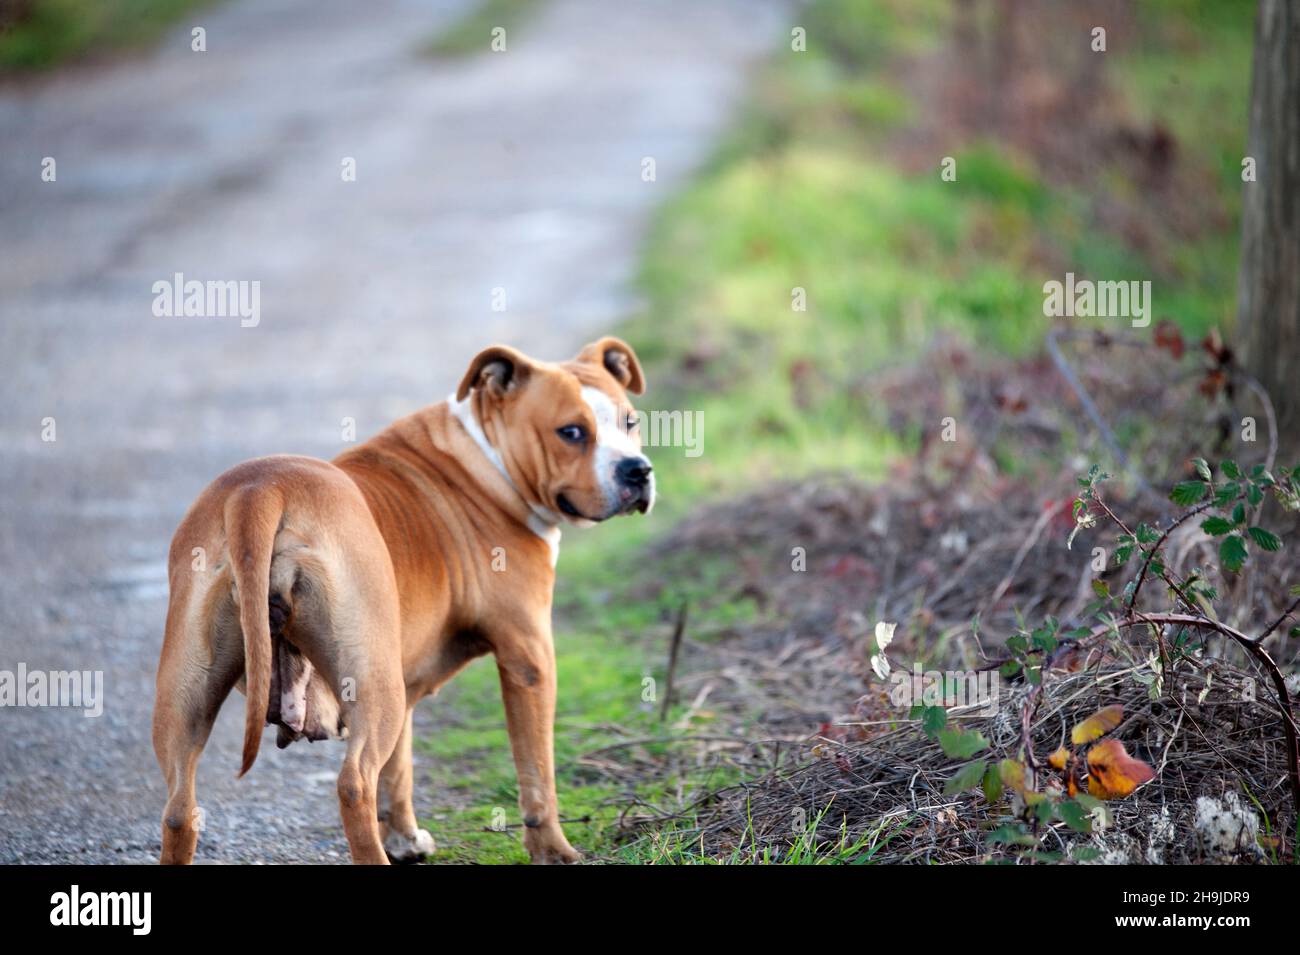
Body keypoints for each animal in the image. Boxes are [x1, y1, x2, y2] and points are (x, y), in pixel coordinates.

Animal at [152, 337, 655, 867]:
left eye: (630, 422)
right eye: (571, 432)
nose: (637, 470)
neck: (486, 458)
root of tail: (259, 490)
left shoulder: (407, 681)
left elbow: (398, 769)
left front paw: (405, 838)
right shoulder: (530, 658)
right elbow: (536, 769)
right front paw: (553, 849)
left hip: (190, 694)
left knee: (179, 808)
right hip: (373, 684)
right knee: (354, 784)